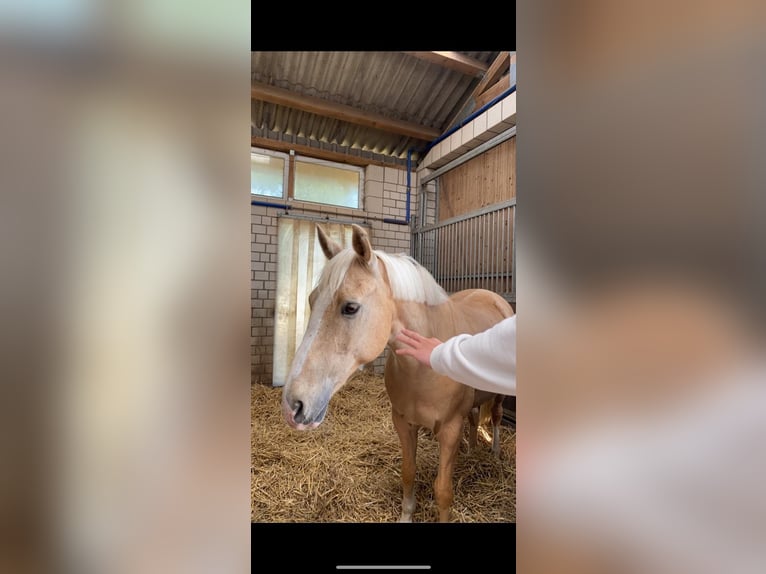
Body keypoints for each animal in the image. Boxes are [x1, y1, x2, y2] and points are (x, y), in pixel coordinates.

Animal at [280, 227, 512, 524]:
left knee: (495, 416)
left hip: (498, 395)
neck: (423, 370)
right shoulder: (403, 422)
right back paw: (471, 450)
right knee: (474, 418)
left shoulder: (450, 429)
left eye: (350, 307)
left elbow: (443, 491)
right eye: (311, 300)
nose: (293, 405)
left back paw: (494, 451)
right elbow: (408, 473)